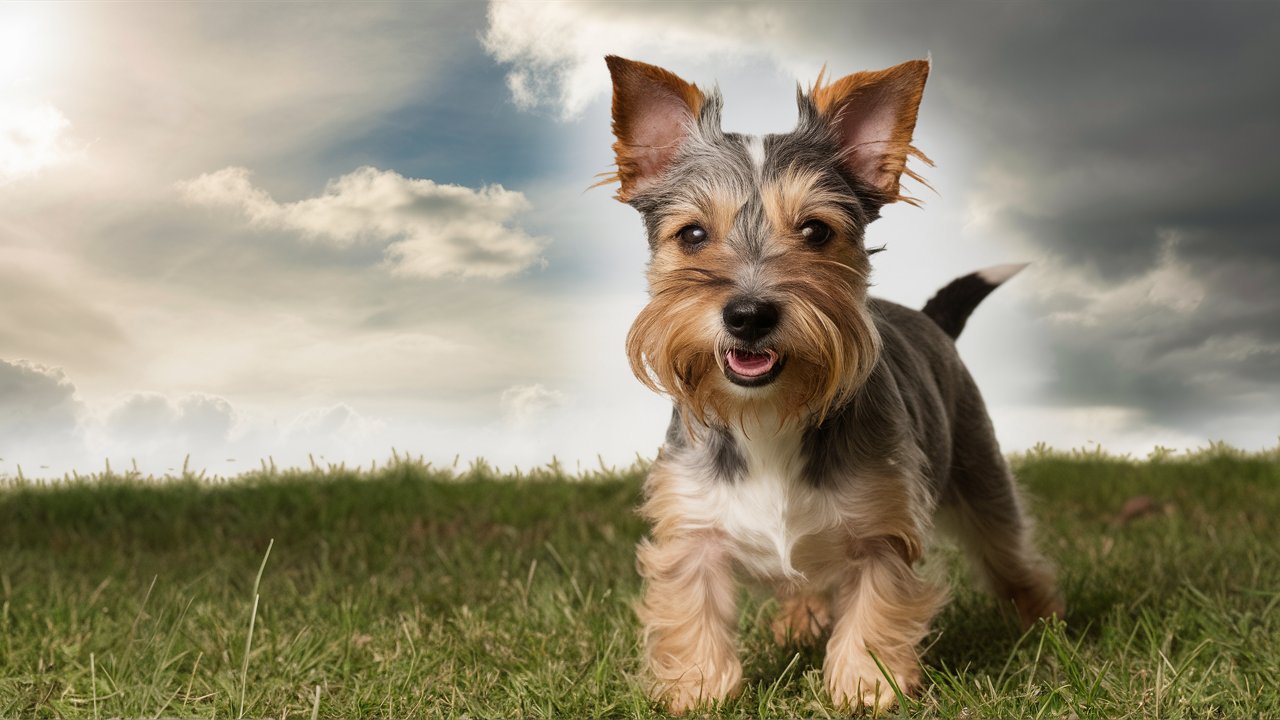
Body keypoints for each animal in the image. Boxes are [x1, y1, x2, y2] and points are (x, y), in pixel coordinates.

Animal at [604, 57, 1064, 712]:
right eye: (692, 235)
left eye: (816, 231)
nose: (748, 315)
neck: (770, 414)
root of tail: (931, 318)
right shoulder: (692, 528)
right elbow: (693, 610)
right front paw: (697, 688)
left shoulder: (882, 529)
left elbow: (876, 605)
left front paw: (865, 685)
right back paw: (800, 620)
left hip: (981, 473)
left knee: (1010, 550)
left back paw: (1045, 621)